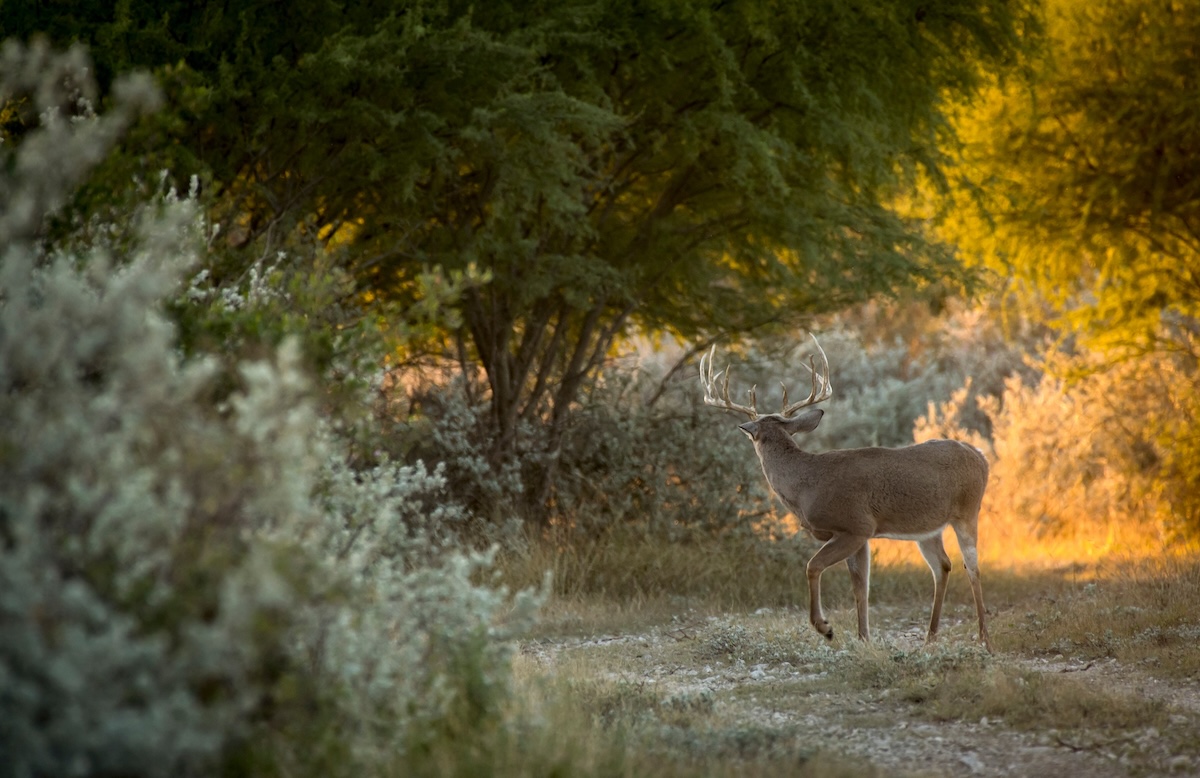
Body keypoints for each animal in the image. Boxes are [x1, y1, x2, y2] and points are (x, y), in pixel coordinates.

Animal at [700, 335, 993, 653]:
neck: (806, 485)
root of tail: (980, 455)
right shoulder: (859, 534)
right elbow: (860, 587)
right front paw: (864, 639)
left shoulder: (855, 525)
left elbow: (813, 566)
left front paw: (825, 628)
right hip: (927, 528)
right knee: (943, 566)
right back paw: (931, 637)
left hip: (968, 511)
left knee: (972, 567)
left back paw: (983, 638)